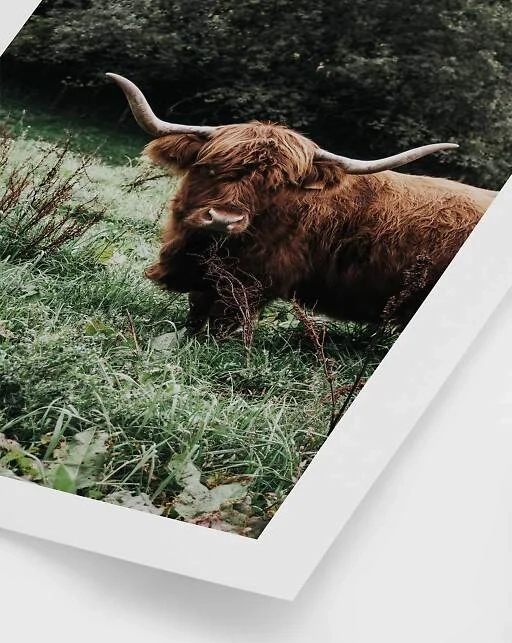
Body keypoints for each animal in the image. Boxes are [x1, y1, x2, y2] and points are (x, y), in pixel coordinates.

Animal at [107, 73, 497, 336]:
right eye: (211, 167)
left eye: (275, 185)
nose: (223, 218)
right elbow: (197, 308)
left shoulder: (251, 280)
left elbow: (225, 320)